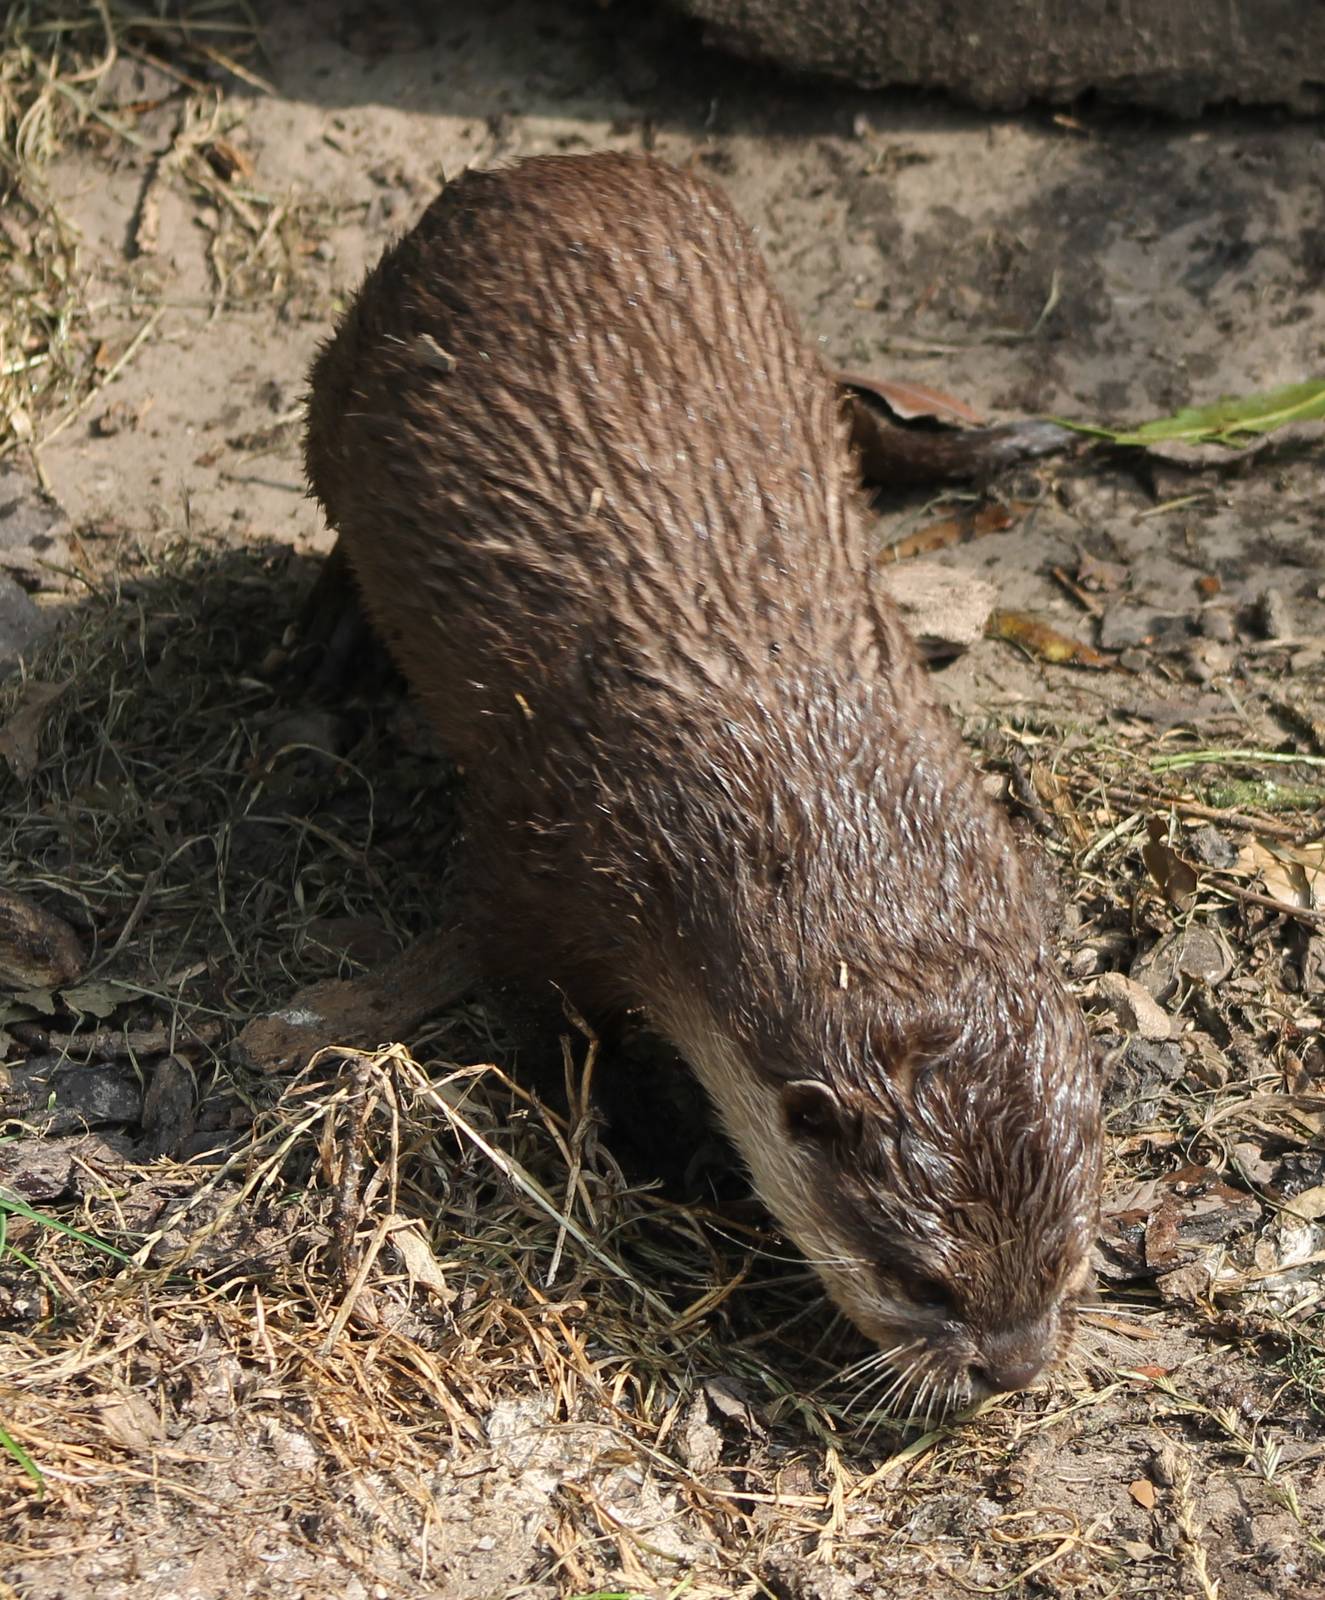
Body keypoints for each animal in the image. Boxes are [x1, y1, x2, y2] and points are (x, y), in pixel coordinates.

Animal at [304, 151, 1102, 1413]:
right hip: (339, 382)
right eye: (923, 1279)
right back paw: (329, 633)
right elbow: (545, 1020)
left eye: (1067, 1254)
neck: (818, 794)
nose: (1012, 1367)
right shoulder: (541, 862)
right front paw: (644, 1140)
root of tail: (553, 168)